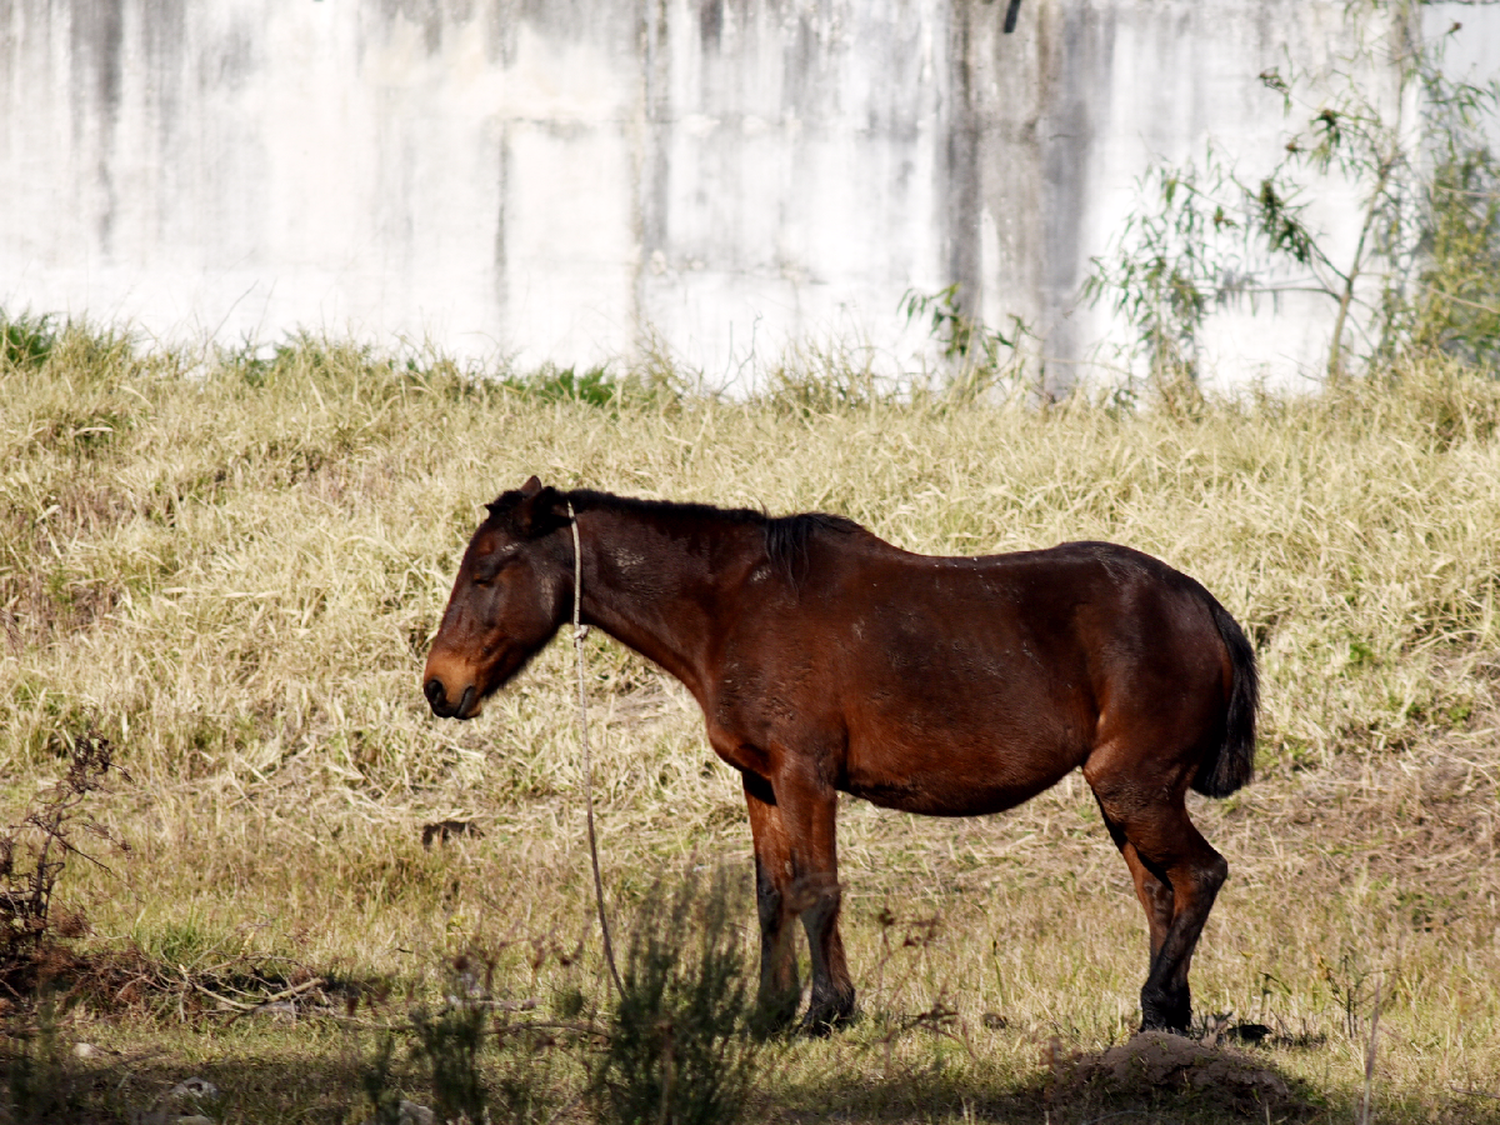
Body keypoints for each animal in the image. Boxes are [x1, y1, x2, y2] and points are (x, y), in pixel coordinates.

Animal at [423, 480, 1254, 1038]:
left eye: (486, 573)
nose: (439, 686)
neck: (734, 605)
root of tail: (1202, 605)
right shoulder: (759, 780)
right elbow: (771, 894)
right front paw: (766, 1010)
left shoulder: (805, 774)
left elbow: (817, 889)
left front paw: (827, 1008)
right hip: (1125, 798)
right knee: (1160, 892)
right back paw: (1163, 1016)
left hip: (1135, 787)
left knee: (1201, 874)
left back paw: (1158, 1002)